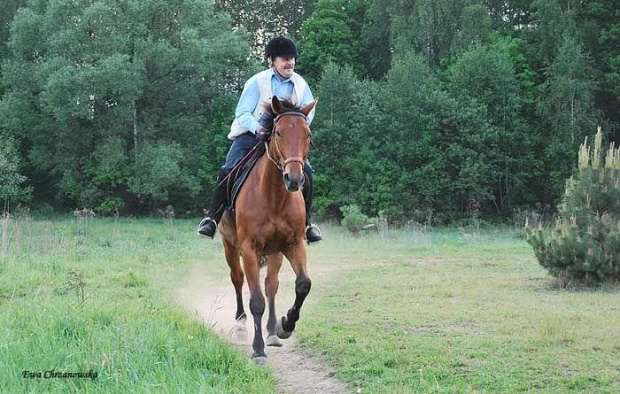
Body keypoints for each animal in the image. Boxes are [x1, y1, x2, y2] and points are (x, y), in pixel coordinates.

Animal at [218, 95, 318, 364]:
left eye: (307, 134)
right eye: (279, 132)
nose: (294, 179)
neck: (274, 196)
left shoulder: (294, 244)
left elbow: (303, 284)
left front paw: (286, 325)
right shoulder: (249, 249)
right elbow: (256, 301)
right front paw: (258, 349)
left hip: (275, 253)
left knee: (271, 284)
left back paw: (272, 331)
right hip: (229, 246)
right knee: (237, 279)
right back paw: (241, 324)